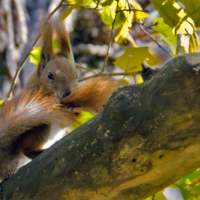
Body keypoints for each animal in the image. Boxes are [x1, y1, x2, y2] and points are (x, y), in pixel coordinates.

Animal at [0, 19, 118, 181]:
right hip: (40, 127)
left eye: (76, 75)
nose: (67, 94)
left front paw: (77, 109)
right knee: (27, 150)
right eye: (50, 75)